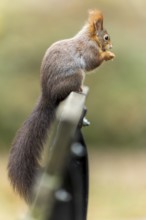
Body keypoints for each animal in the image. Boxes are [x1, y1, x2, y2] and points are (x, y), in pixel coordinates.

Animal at [7, 9, 115, 203]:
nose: (110, 46)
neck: (89, 38)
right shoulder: (88, 50)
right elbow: (93, 61)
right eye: (106, 37)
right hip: (76, 76)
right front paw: (107, 56)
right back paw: (79, 89)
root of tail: (48, 95)